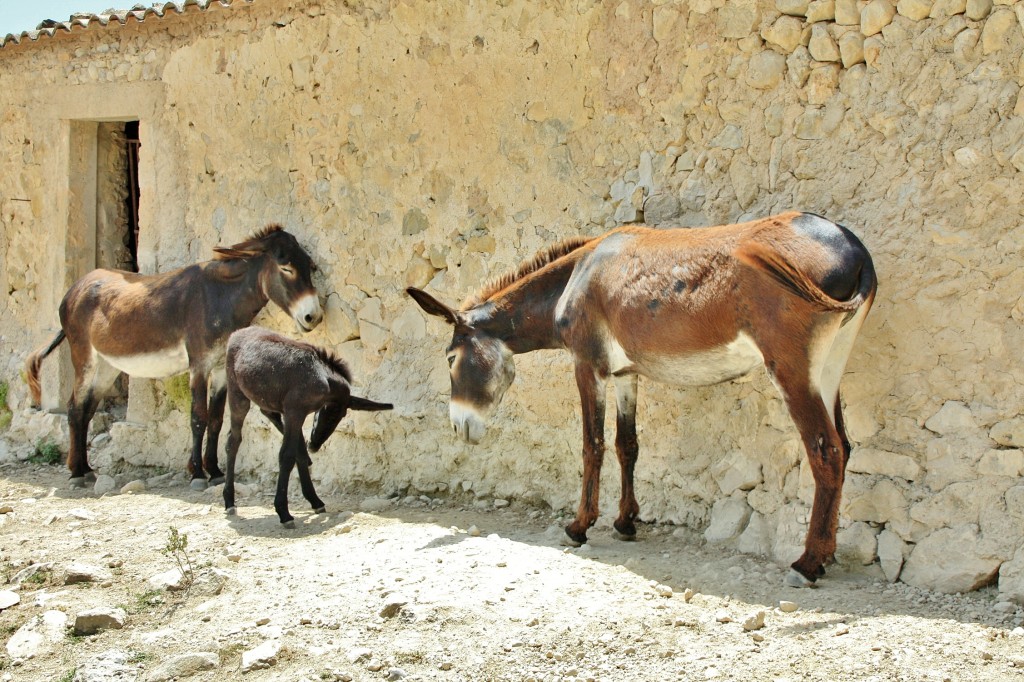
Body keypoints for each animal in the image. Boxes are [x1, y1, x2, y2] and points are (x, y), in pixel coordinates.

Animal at [224, 323, 391, 524]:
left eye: (339, 416)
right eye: (333, 415)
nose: (315, 445)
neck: (323, 378)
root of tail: (236, 333)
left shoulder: (295, 414)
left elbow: (299, 453)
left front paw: (315, 500)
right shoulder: (295, 412)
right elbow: (287, 455)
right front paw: (283, 511)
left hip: (269, 403)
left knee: (269, 414)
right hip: (237, 396)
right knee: (233, 442)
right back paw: (229, 501)